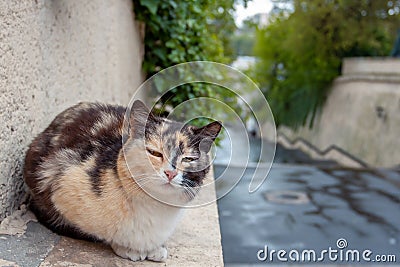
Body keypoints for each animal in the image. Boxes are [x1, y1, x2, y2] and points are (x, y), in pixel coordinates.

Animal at [24, 100, 222, 262]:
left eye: (188, 159)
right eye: (155, 153)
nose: (170, 173)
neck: (154, 207)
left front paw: (156, 248)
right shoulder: (60, 182)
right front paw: (129, 248)